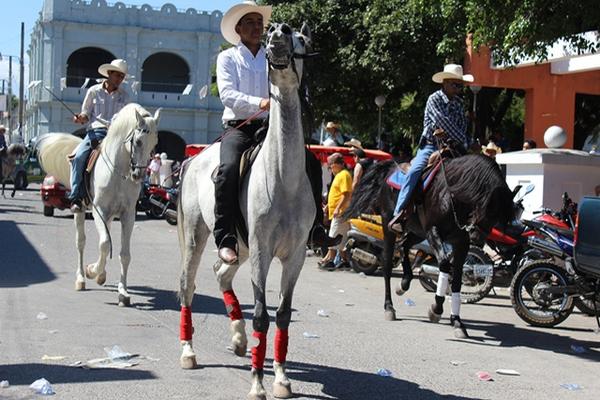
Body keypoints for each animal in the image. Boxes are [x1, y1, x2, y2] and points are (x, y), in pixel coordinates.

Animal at [37, 104, 159, 306]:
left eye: (154, 143)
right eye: (139, 141)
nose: (139, 175)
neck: (118, 172)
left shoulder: (128, 215)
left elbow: (124, 254)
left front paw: (123, 292)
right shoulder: (98, 210)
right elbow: (104, 244)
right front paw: (92, 271)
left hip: (108, 217)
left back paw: (101, 275)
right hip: (80, 211)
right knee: (81, 242)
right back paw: (82, 278)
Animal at [177, 23, 314, 400]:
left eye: (302, 39)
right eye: (269, 36)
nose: (279, 32)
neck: (283, 179)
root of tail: (194, 159)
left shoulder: (295, 256)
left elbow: (282, 315)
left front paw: (281, 378)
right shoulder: (262, 253)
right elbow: (262, 317)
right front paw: (257, 383)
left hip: (238, 246)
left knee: (221, 273)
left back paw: (239, 339)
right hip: (197, 236)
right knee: (188, 285)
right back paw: (188, 351)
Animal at [346, 153, 516, 338]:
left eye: (498, 215)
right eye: (486, 205)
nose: (477, 237)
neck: (453, 197)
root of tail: (391, 169)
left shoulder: (461, 242)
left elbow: (457, 279)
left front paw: (457, 321)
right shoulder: (433, 232)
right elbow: (444, 265)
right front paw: (436, 309)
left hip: (416, 232)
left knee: (404, 246)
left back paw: (404, 283)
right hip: (388, 226)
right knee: (387, 265)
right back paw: (389, 307)